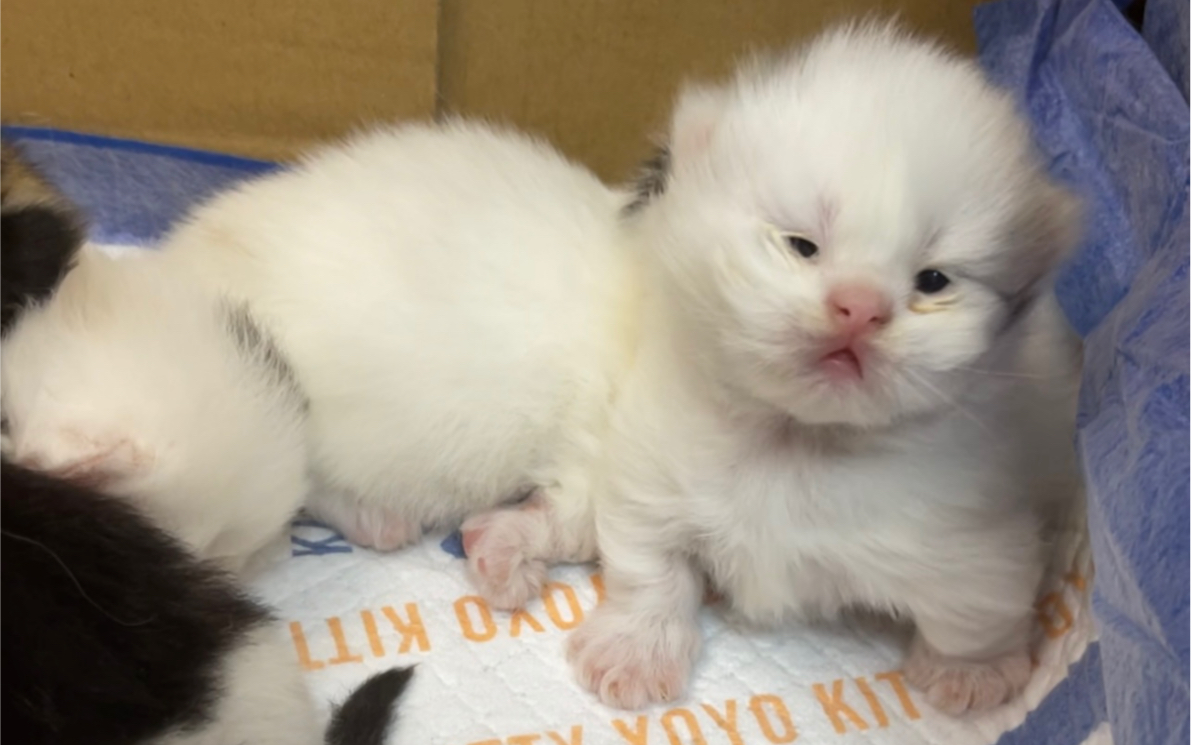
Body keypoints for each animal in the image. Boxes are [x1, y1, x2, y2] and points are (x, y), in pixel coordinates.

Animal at [151, 20, 1083, 715]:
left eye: (933, 282)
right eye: (800, 244)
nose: (859, 306)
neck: (794, 439)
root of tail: (177, 262)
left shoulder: (968, 521)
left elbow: (981, 597)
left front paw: (973, 672)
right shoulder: (626, 450)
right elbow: (635, 557)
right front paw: (601, 619)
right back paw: (375, 513)